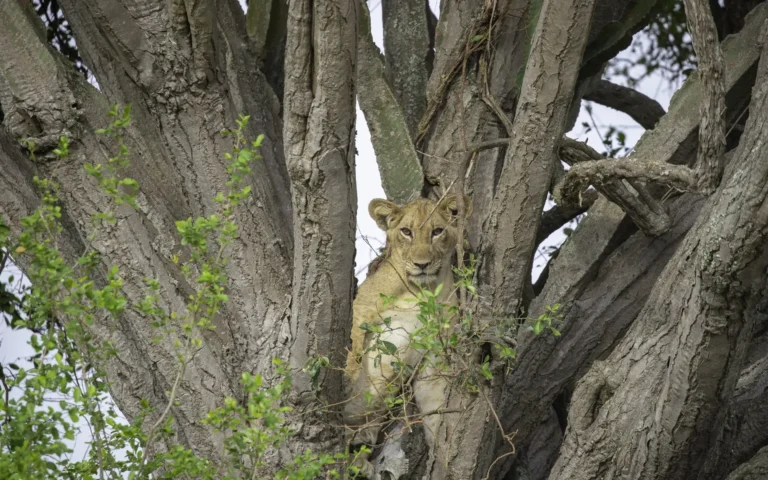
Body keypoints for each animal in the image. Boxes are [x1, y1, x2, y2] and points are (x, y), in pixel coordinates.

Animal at [343, 195, 472, 476]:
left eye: (437, 231)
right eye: (406, 232)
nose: (422, 264)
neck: (422, 291)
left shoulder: (435, 357)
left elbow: (437, 409)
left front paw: (444, 458)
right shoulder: (359, 313)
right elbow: (351, 351)